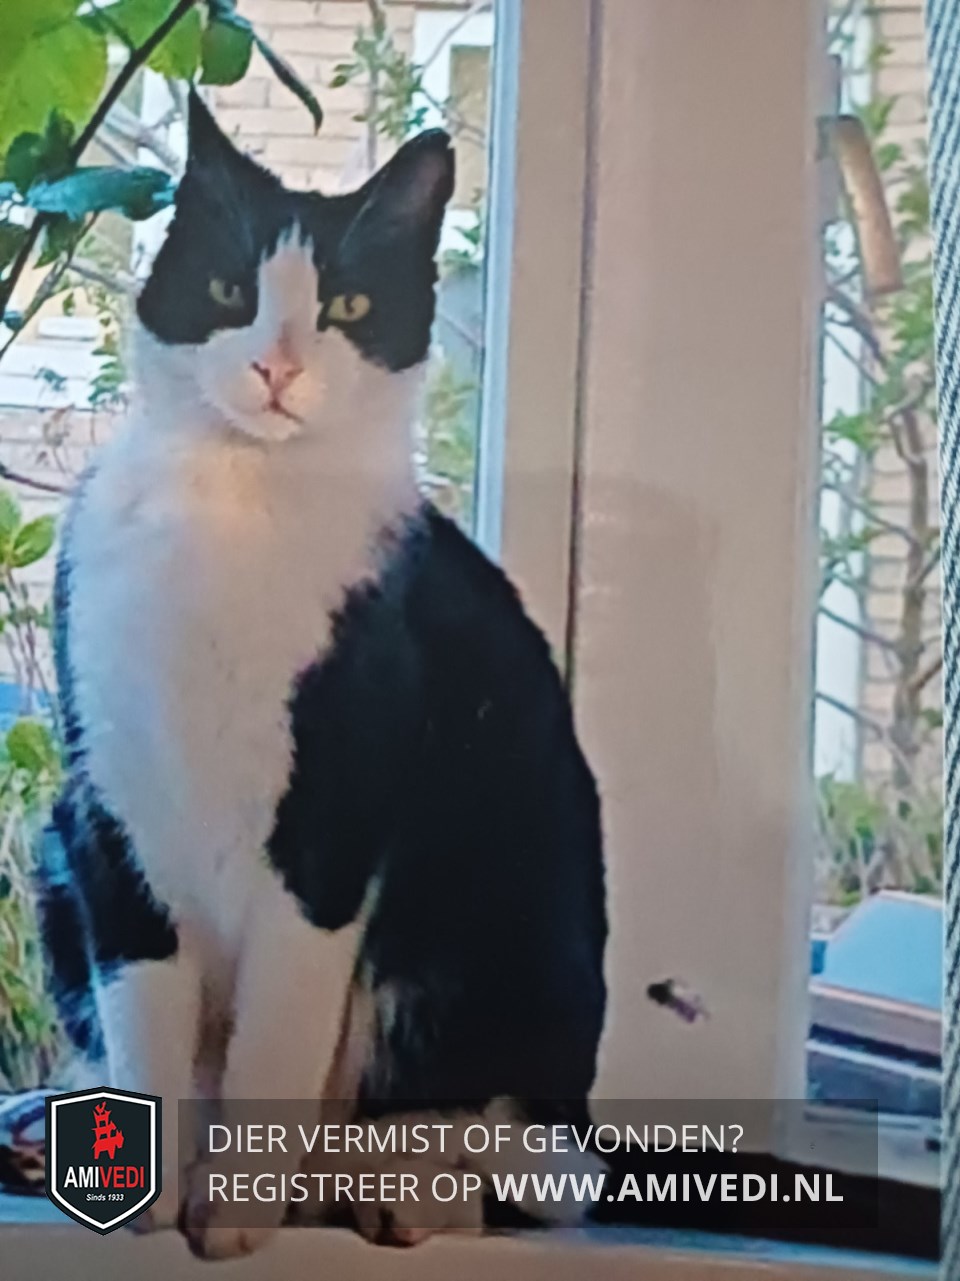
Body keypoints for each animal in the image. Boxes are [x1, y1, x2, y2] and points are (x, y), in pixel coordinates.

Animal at [42, 90, 607, 1259]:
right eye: (229, 291)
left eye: (347, 303)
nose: (279, 367)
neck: (235, 511)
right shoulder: (109, 809)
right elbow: (143, 1017)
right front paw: (145, 1211)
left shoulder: (332, 827)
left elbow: (277, 1037)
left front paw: (232, 1221)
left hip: (499, 912)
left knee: (511, 1153)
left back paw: (392, 1195)